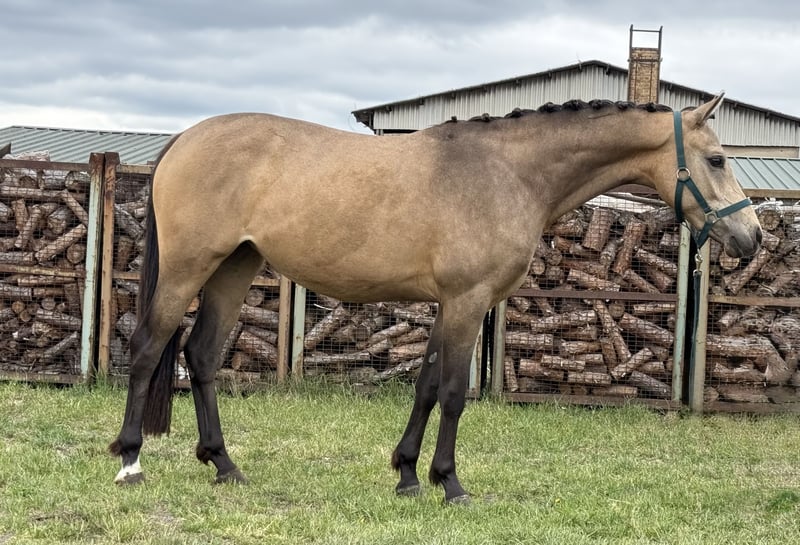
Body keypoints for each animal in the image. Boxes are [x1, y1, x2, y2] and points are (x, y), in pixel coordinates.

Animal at [109, 93, 762, 504]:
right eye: (717, 159)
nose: (752, 237)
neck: (507, 172)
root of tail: (184, 139)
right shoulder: (469, 301)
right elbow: (451, 394)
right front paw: (449, 483)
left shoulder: (449, 305)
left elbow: (424, 387)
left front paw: (406, 475)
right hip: (189, 269)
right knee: (147, 349)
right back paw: (130, 462)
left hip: (234, 268)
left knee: (200, 356)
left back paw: (224, 466)